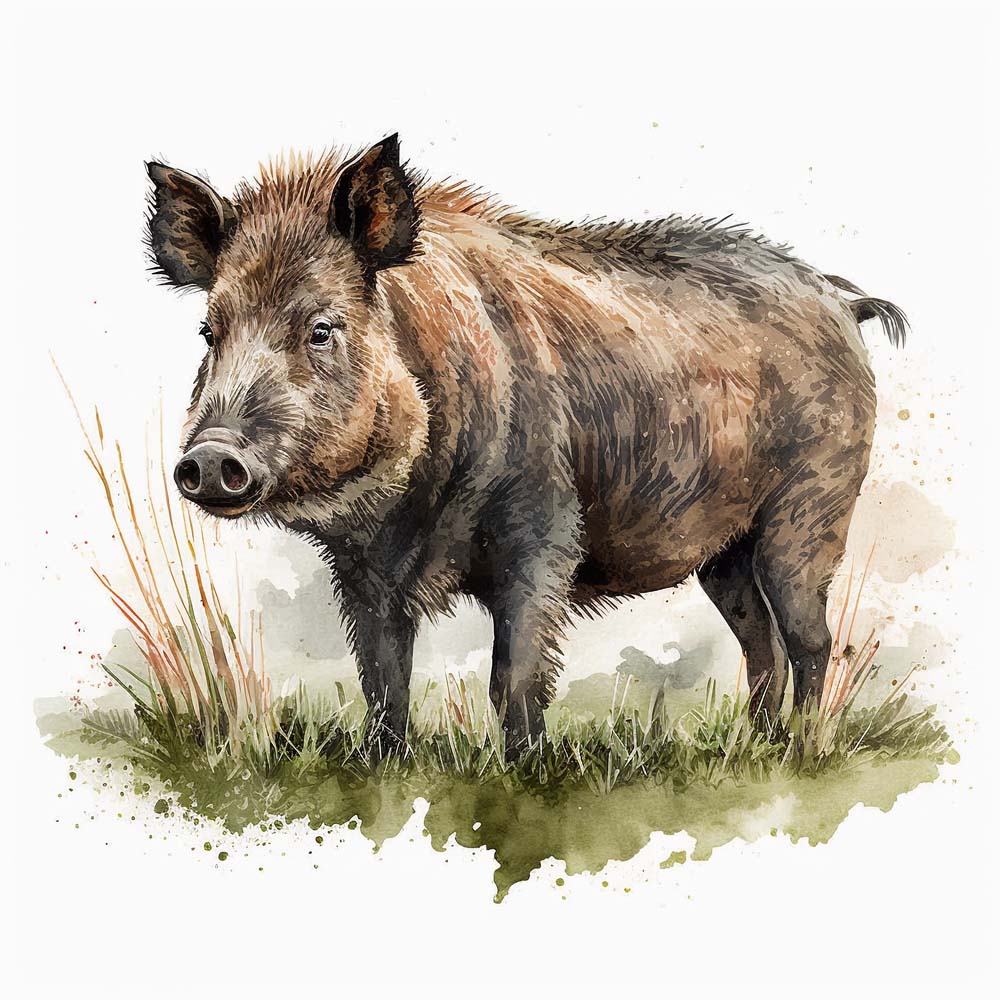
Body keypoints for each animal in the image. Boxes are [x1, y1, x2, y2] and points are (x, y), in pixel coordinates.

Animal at [146, 134, 907, 753]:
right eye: (211, 332)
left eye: (321, 329)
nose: (209, 458)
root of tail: (842, 299)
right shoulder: (362, 572)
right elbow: (383, 682)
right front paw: (382, 769)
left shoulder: (544, 530)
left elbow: (513, 677)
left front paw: (529, 773)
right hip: (724, 550)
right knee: (760, 643)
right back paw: (755, 750)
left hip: (812, 510)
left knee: (811, 639)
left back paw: (801, 753)